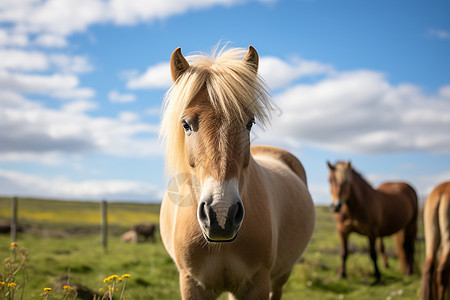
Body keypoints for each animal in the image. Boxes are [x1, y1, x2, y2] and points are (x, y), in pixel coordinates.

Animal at [160, 45, 314, 300]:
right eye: (185, 124)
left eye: (249, 123)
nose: (221, 214)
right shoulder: (191, 284)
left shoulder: (257, 283)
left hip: (280, 276)